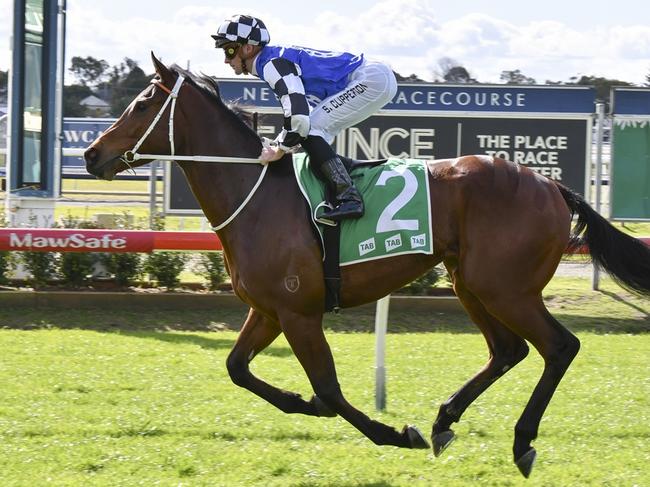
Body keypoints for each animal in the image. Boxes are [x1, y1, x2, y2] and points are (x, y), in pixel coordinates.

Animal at [83, 52, 648, 476]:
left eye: (143, 103)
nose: (90, 155)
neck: (256, 193)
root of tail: (553, 185)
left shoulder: (299, 314)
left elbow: (329, 390)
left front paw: (394, 433)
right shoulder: (267, 310)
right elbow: (239, 369)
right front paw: (305, 402)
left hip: (505, 289)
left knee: (559, 346)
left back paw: (520, 440)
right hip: (472, 283)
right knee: (508, 350)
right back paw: (445, 421)